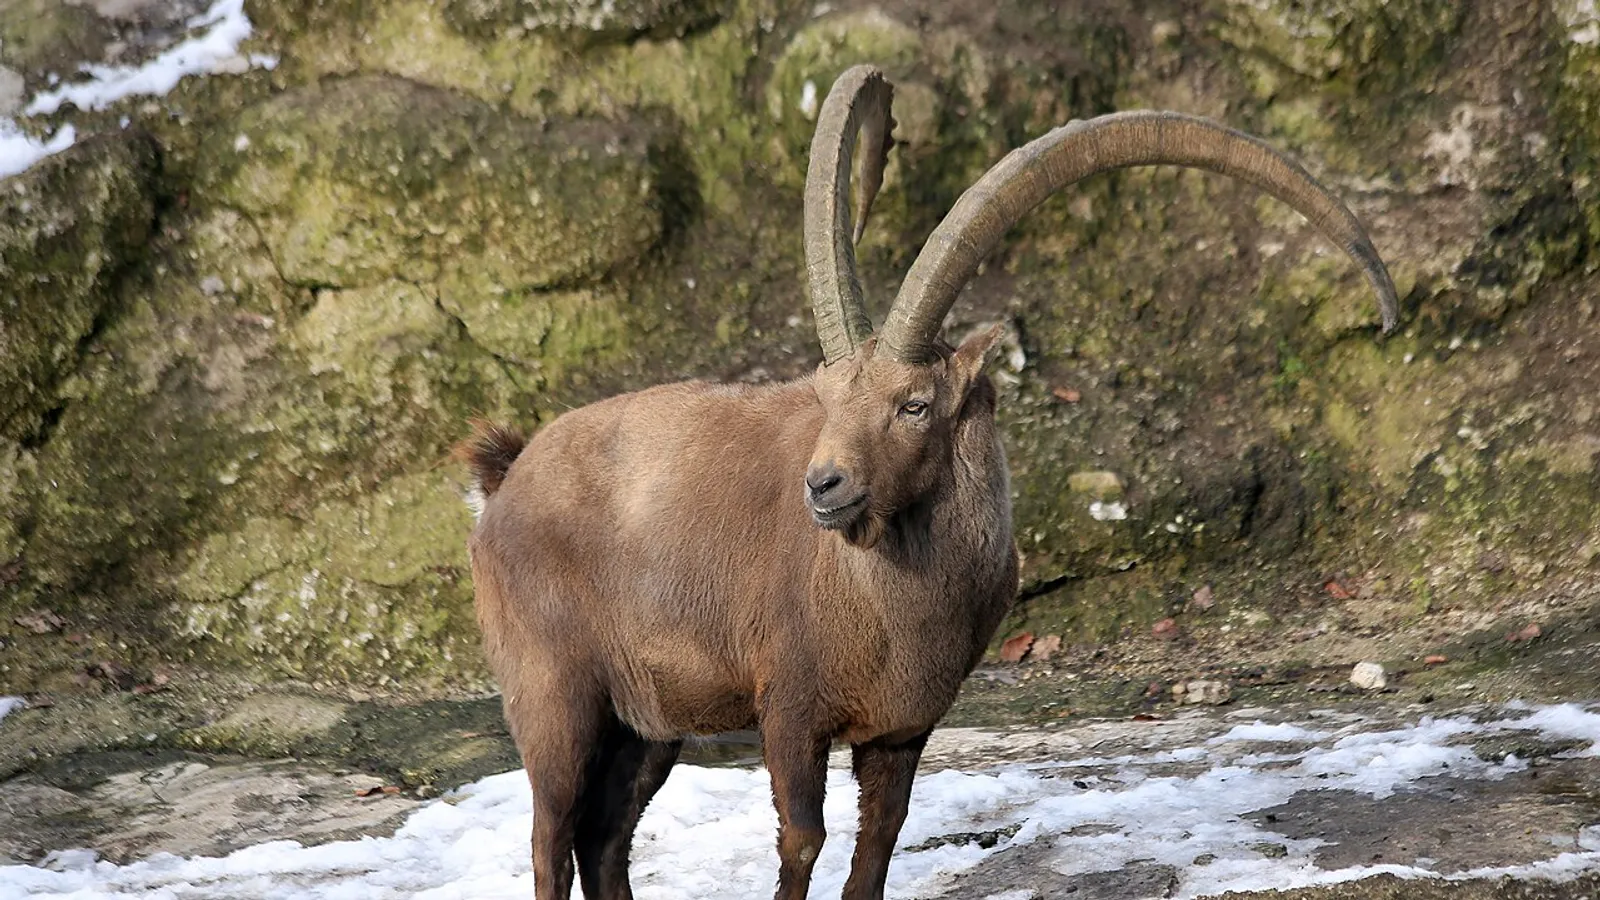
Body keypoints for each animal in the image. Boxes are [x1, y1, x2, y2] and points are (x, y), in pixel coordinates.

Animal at [456, 65, 1397, 900]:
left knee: (604, 839)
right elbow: (802, 841)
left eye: (914, 405)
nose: (823, 487)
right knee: (550, 839)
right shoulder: (788, 709)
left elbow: (877, 844)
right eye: (826, 396)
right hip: (555, 696)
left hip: (647, 724)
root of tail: (506, 478)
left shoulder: (902, 728)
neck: (887, 603)